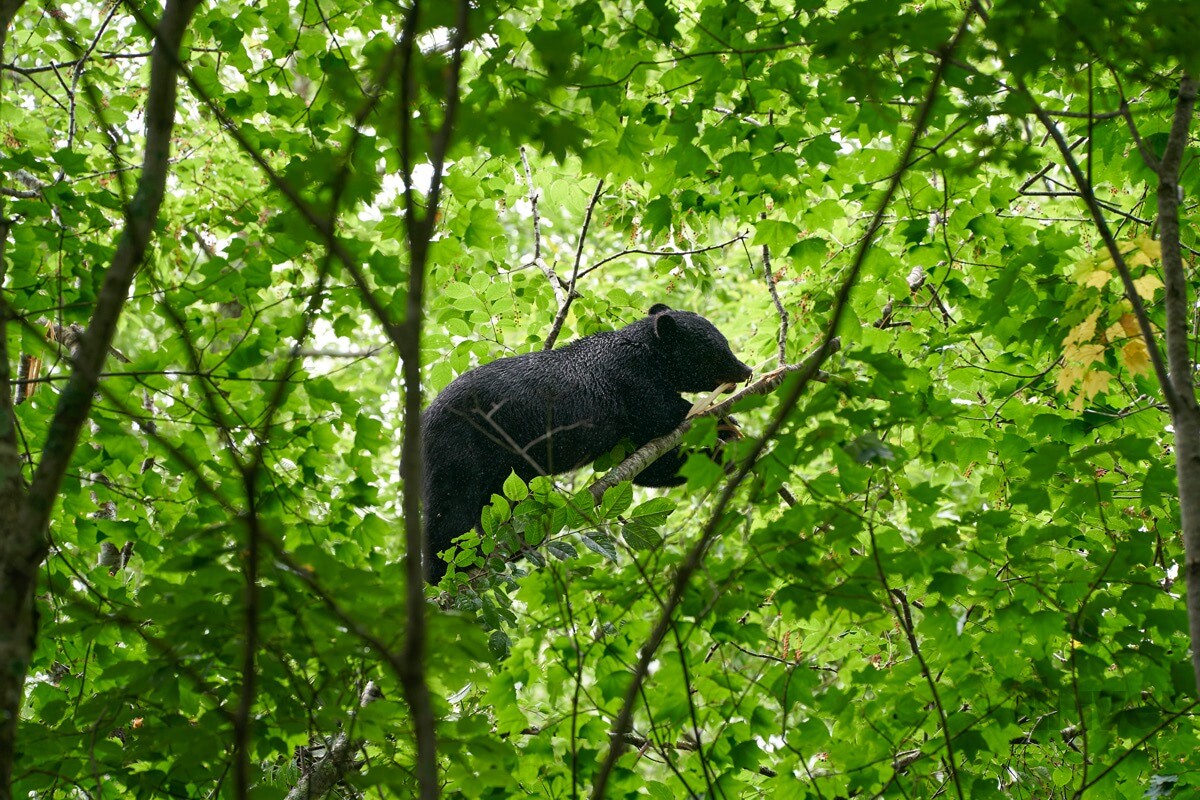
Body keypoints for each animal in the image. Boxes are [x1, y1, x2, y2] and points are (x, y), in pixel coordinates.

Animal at [422, 303, 748, 585]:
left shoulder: (627, 431)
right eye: (717, 349)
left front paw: (725, 452)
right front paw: (723, 421)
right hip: (459, 446)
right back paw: (447, 570)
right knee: (450, 510)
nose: (746, 370)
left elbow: (651, 466)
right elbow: (662, 410)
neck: (648, 354)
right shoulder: (628, 378)